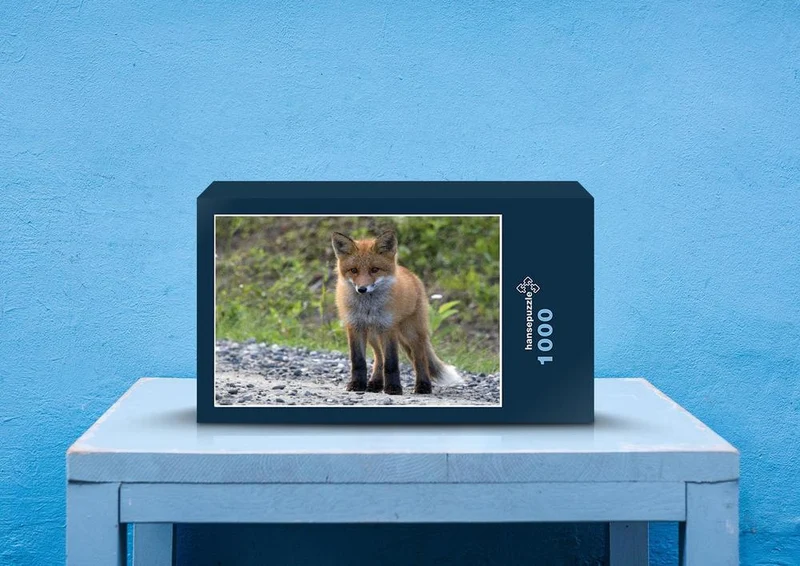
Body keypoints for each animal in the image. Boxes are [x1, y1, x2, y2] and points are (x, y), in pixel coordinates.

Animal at [331, 230, 463, 395]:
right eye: (354, 270)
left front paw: (393, 388)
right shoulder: (355, 327)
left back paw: (423, 386)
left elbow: (392, 363)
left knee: (420, 358)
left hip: (410, 333)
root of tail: (411, 274)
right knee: (379, 358)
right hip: (373, 335)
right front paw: (357, 384)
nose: (362, 289)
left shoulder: (388, 328)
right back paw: (375, 383)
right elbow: (359, 361)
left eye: (374, 269)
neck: (368, 307)